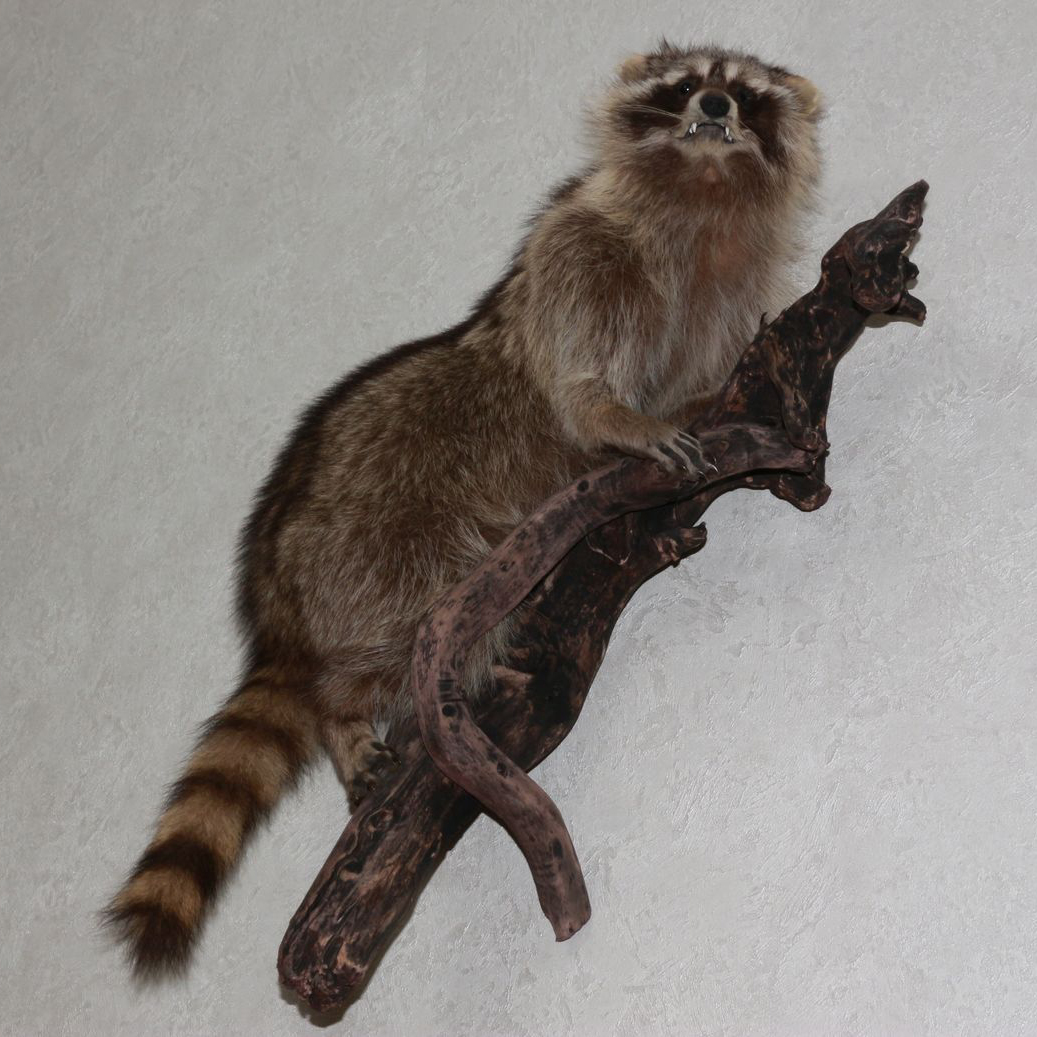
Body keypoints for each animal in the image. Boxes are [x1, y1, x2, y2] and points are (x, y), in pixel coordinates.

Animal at [105, 41, 822, 978]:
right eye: (683, 84)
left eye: (743, 91)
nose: (711, 105)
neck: (700, 194)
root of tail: (273, 591)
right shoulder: (580, 250)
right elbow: (577, 385)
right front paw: (619, 421)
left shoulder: (728, 290)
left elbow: (710, 363)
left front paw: (707, 399)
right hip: (374, 539)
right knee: (408, 617)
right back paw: (344, 703)